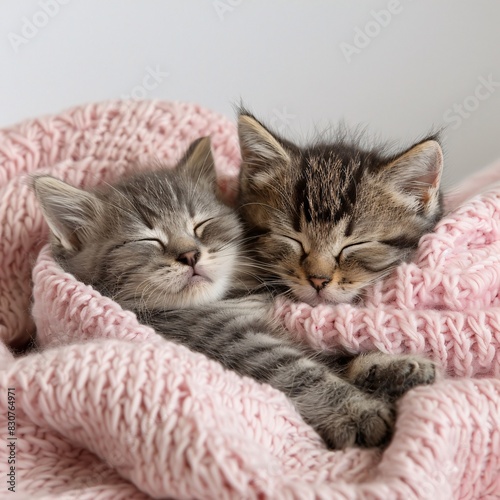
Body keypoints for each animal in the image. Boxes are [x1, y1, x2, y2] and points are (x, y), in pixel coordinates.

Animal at [33, 136, 436, 450]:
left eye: (202, 226)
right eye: (147, 240)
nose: (190, 254)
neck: (223, 301)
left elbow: (330, 356)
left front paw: (391, 366)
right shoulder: (228, 342)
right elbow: (299, 370)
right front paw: (355, 409)